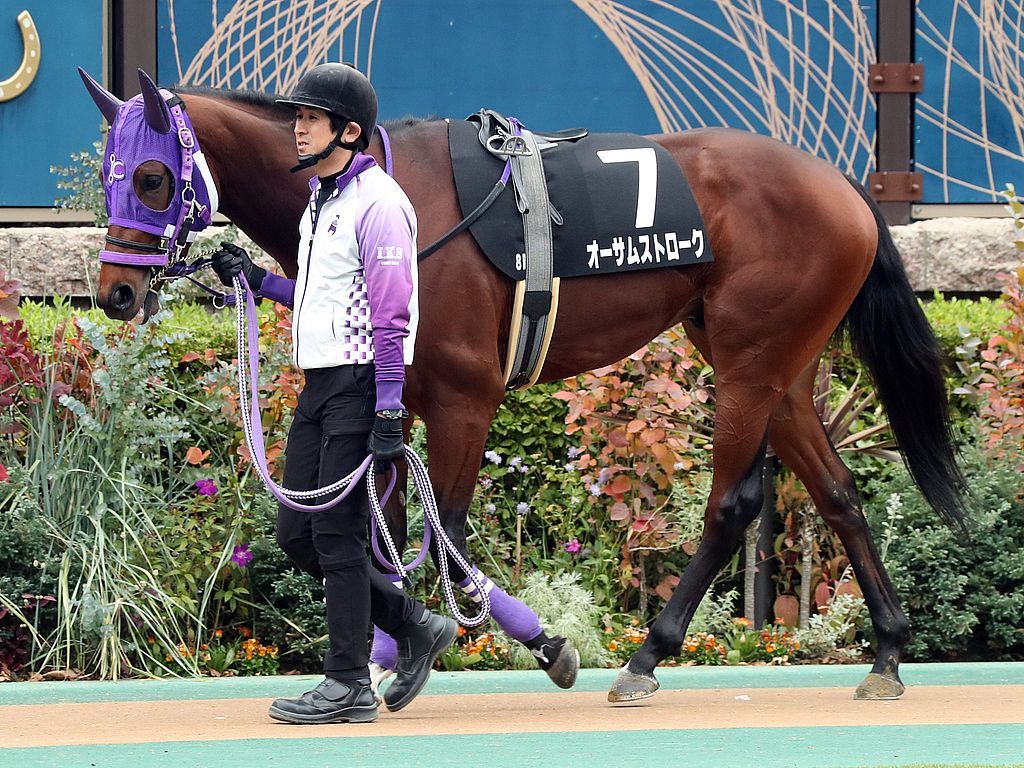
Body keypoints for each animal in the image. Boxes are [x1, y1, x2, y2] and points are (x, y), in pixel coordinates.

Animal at [81, 69, 965, 703]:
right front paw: (387, 652)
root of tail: (848, 188)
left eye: (153, 178)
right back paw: (888, 651)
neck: (379, 184)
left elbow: (442, 532)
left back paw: (647, 655)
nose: (115, 293)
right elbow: (383, 530)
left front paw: (474, 645)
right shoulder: (393, 408)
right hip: (777, 363)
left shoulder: (463, 400)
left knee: (732, 504)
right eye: (109, 176)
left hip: (752, 361)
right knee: (839, 490)